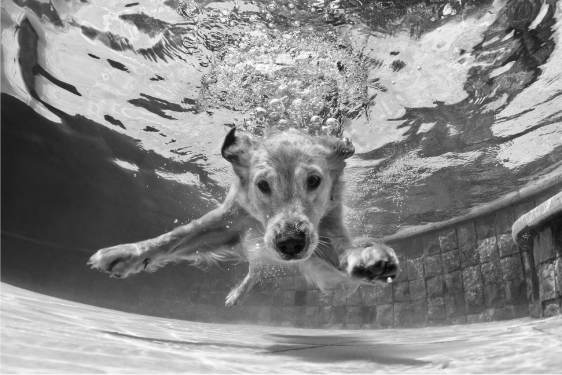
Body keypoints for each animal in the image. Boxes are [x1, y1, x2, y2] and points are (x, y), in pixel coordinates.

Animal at [87, 128, 396, 306]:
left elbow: (344, 251)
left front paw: (366, 259)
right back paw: (237, 294)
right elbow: (176, 236)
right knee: (254, 270)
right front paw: (130, 253)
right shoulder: (229, 221)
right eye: (263, 185)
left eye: (314, 181)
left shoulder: (326, 232)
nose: (290, 243)